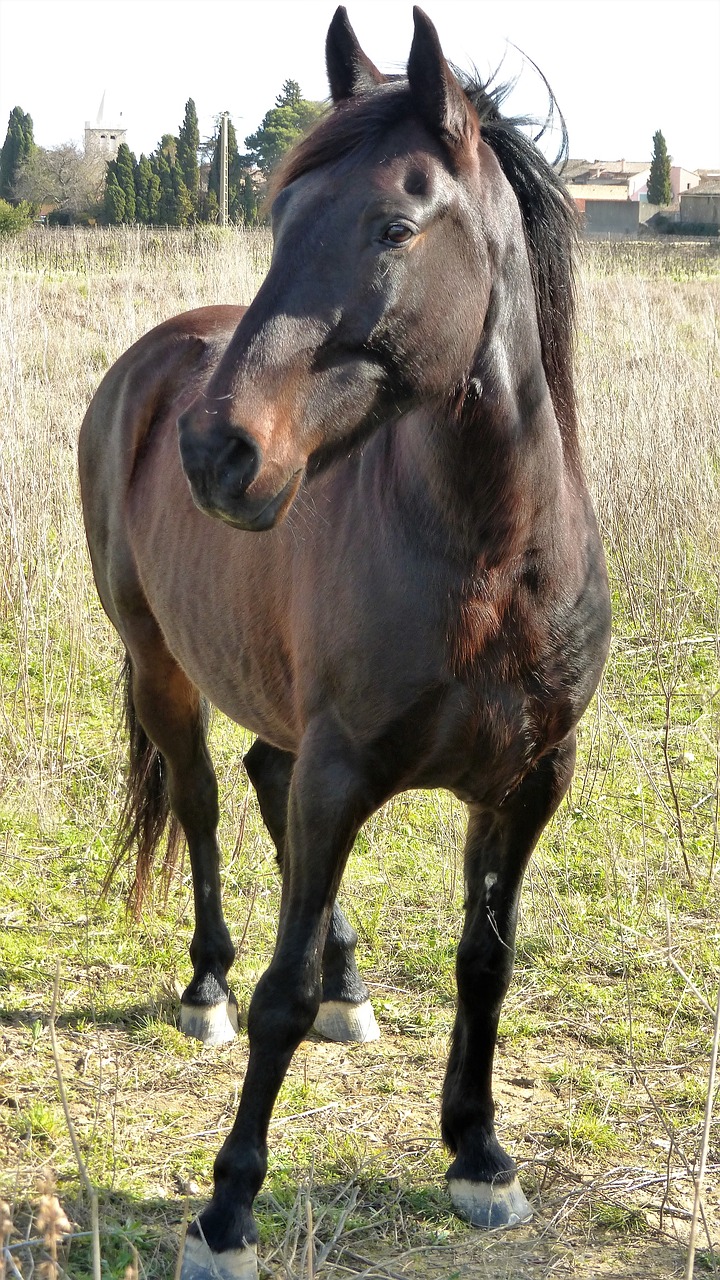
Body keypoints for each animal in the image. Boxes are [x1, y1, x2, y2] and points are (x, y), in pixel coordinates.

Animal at [77, 5, 604, 1274]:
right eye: (277, 217)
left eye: (395, 226)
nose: (217, 451)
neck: (490, 561)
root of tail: (157, 362)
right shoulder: (341, 769)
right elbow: (276, 988)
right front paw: (225, 1210)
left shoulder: (529, 782)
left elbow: (486, 961)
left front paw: (480, 1153)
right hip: (165, 668)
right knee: (206, 803)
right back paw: (206, 986)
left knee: (262, 783)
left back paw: (346, 979)